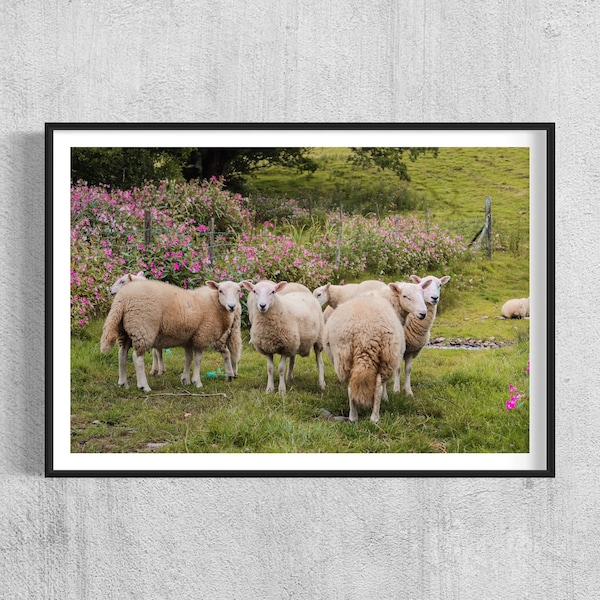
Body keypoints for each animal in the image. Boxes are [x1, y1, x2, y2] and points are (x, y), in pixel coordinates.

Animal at [101, 278, 241, 392]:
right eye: (220, 291)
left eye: (239, 291)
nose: (232, 306)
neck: (214, 303)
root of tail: (122, 299)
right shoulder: (202, 336)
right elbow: (197, 360)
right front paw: (197, 382)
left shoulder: (189, 339)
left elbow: (188, 358)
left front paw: (185, 379)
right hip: (143, 328)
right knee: (137, 358)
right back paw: (144, 386)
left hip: (125, 332)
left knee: (122, 355)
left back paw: (123, 383)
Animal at [326, 280, 428, 422]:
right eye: (405, 296)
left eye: (423, 294)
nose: (423, 313)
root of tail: (364, 333)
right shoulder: (390, 356)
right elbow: (384, 384)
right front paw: (386, 398)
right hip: (385, 353)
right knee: (378, 386)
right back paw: (374, 417)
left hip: (344, 355)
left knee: (351, 386)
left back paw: (353, 416)